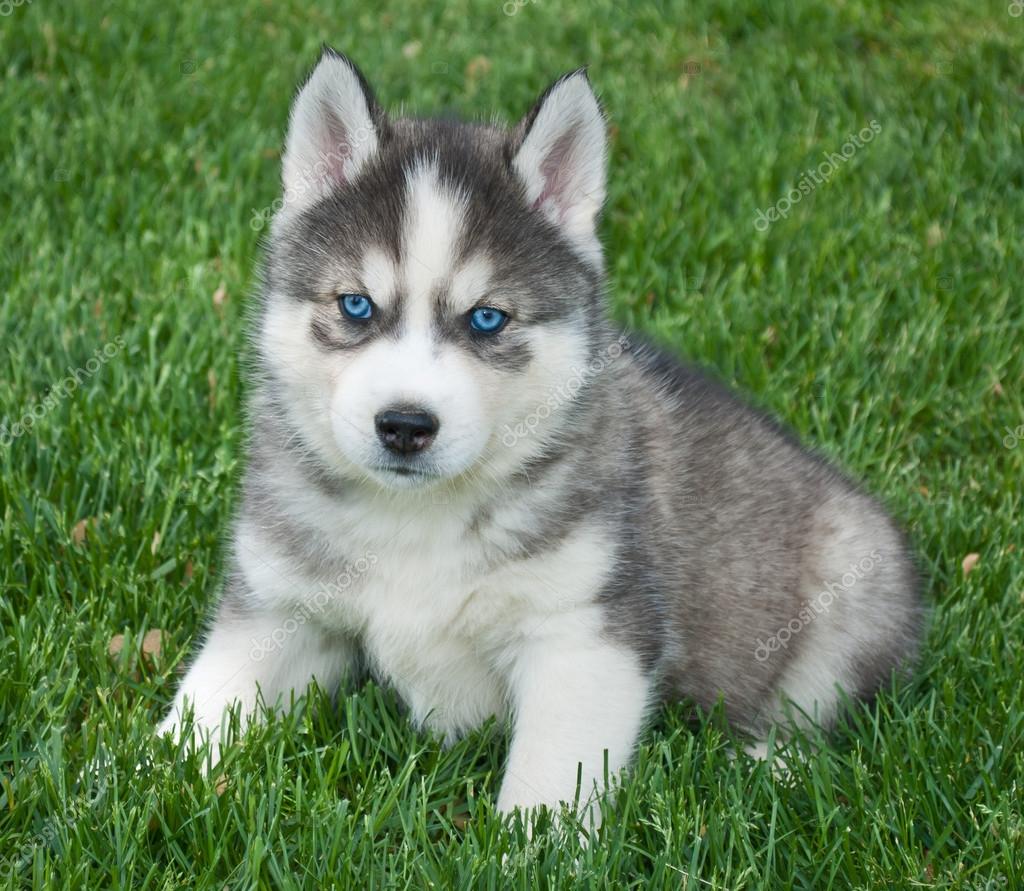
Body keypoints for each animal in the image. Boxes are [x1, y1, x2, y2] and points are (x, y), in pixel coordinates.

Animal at [157, 50, 921, 823]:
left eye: (487, 318)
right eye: (356, 305)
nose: (404, 425)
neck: (416, 519)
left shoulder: (587, 631)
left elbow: (552, 777)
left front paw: (529, 843)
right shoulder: (278, 609)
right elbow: (203, 707)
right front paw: (141, 779)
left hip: (854, 583)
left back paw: (766, 767)